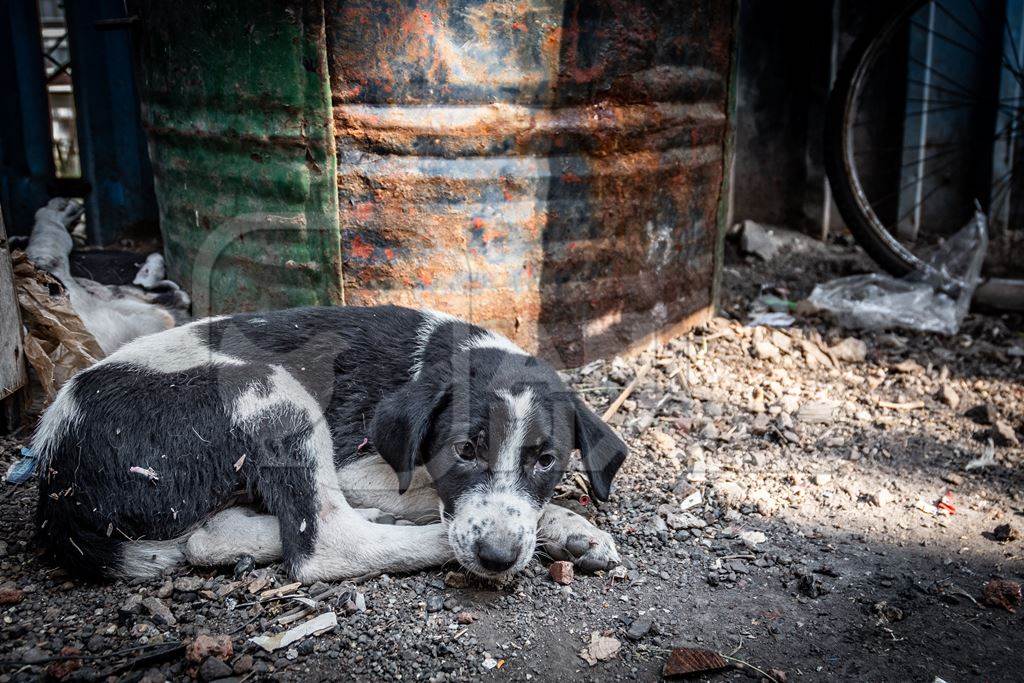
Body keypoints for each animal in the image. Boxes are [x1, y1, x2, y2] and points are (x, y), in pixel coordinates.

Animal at [34, 307, 622, 581]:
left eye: (546, 460)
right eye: (464, 451)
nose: (497, 557)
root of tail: (57, 477)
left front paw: (573, 530)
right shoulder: (356, 467)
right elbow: (438, 496)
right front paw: (562, 528)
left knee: (205, 539)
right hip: (268, 389)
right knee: (325, 544)